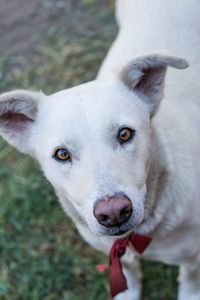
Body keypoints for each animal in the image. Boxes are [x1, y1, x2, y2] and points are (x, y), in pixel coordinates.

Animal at [0, 0, 200, 300]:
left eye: (125, 133)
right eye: (61, 154)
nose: (114, 212)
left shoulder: (193, 257)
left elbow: (190, 280)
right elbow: (127, 274)